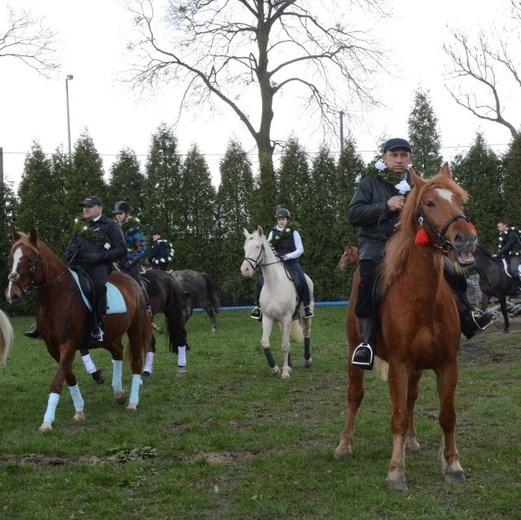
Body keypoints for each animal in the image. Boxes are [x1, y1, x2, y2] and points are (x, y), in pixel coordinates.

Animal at [6, 228, 152, 430]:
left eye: (29, 259)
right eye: (11, 258)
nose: (12, 295)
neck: (56, 297)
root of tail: (132, 281)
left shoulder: (68, 344)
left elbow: (57, 381)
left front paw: (47, 421)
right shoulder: (53, 348)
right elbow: (68, 376)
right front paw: (79, 411)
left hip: (135, 330)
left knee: (136, 362)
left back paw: (132, 402)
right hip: (107, 337)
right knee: (118, 351)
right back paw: (119, 392)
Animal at [334, 166, 476, 492]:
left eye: (459, 201)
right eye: (430, 203)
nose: (465, 239)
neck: (423, 300)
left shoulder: (447, 364)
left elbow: (447, 415)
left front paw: (453, 465)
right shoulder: (399, 363)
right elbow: (396, 416)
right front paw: (396, 472)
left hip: (418, 366)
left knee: (411, 397)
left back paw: (411, 442)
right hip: (354, 352)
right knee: (355, 394)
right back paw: (344, 445)